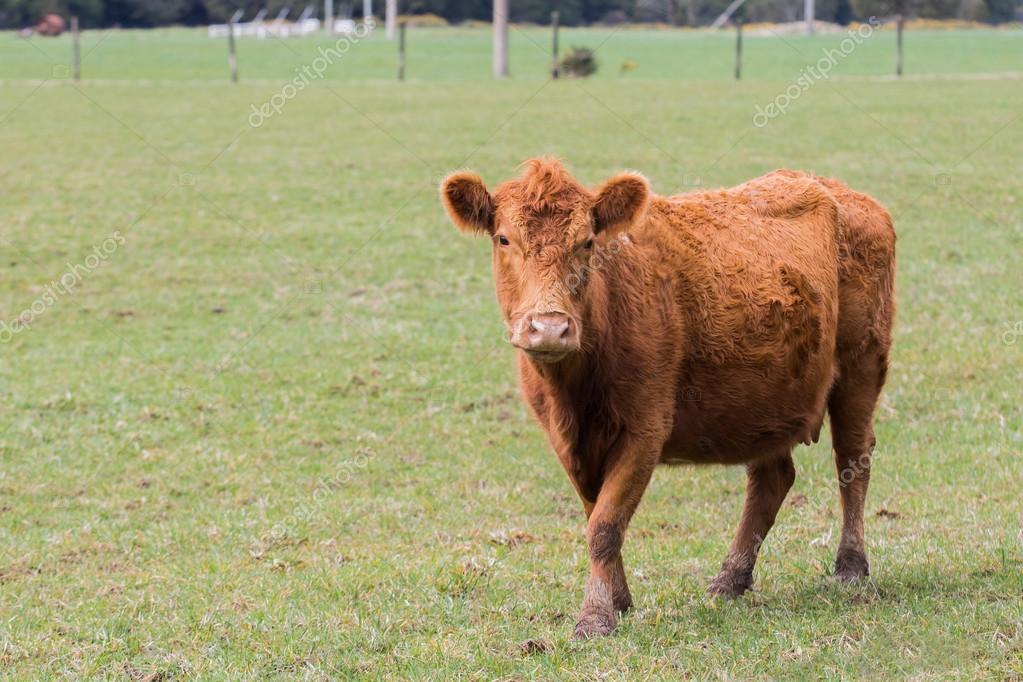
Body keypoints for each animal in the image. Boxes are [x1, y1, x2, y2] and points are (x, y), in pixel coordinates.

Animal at [439, 158, 895, 638]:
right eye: (504, 238)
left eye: (587, 242)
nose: (549, 327)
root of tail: (846, 195)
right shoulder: (568, 442)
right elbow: (595, 513)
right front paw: (618, 599)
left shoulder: (644, 431)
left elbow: (604, 525)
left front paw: (595, 616)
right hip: (771, 400)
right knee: (772, 480)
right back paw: (730, 578)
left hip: (860, 369)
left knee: (852, 460)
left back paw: (850, 566)